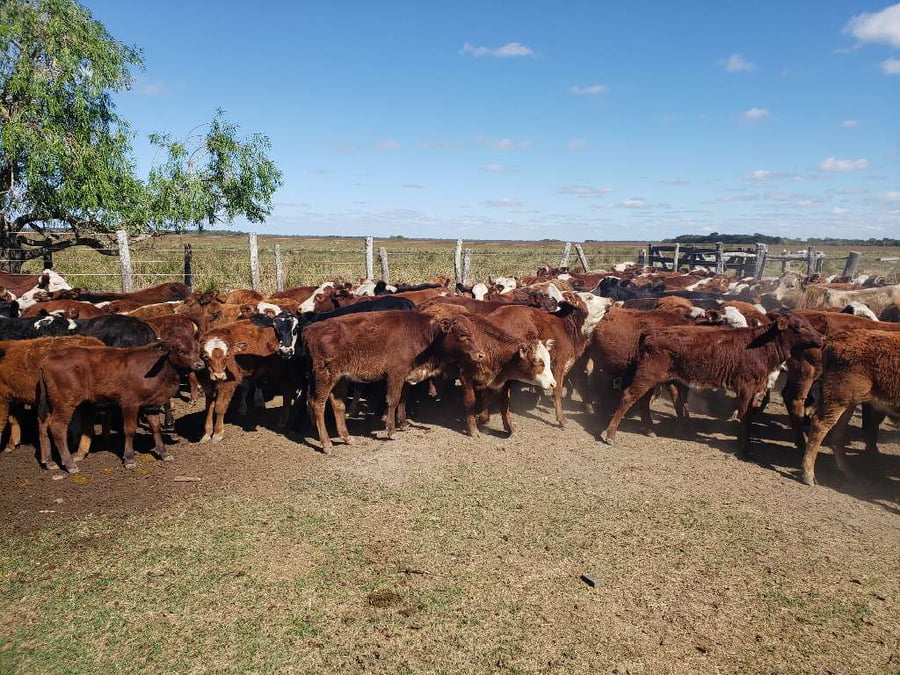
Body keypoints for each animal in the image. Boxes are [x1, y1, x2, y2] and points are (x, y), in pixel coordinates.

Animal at [37, 333, 205, 471]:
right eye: (181, 350)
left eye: (198, 350)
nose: (200, 365)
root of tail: (48, 357)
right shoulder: (130, 404)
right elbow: (129, 430)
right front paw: (129, 458)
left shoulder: (152, 405)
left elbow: (155, 427)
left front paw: (163, 452)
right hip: (65, 402)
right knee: (57, 427)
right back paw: (70, 464)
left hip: (50, 403)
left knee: (43, 424)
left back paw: (49, 461)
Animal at [600, 313, 824, 454]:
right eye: (800, 326)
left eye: (809, 323)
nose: (822, 338)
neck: (759, 346)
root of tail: (651, 332)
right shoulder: (746, 387)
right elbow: (744, 416)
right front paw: (745, 447)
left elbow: (748, 416)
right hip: (647, 375)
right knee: (629, 396)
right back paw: (610, 435)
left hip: (656, 378)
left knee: (643, 401)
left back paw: (649, 430)